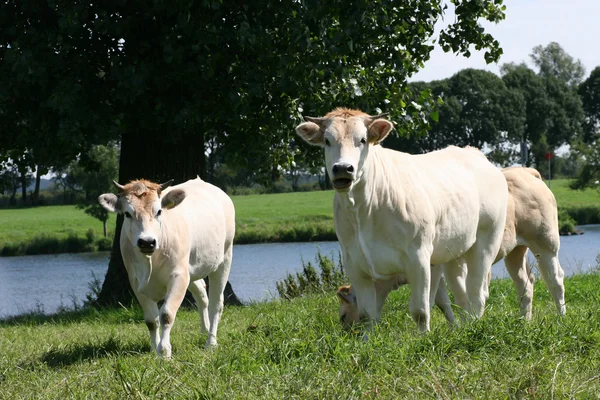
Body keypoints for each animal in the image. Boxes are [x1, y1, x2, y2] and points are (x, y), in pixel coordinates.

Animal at [98, 178, 234, 356]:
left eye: (159, 212)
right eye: (127, 214)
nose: (147, 242)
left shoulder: (179, 276)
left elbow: (166, 315)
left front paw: (164, 351)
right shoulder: (136, 282)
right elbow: (151, 320)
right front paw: (153, 349)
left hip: (224, 258)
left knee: (216, 304)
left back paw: (211, 342)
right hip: (192, 269)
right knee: (202, 294)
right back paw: (204, 330)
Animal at [296, 108, 506, 332]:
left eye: (362, 140)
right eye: (327, 140)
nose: (343, 168)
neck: (363, 210)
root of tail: (474, 153)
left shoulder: (419, 257)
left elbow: (422, 310)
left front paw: (424, 337)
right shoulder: (354, 262)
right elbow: (367, 314)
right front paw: (367, 339)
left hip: (486, 242)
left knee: (477, 292)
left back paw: (474, 325)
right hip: (453, 252)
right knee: (462, 295)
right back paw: (466, 325)